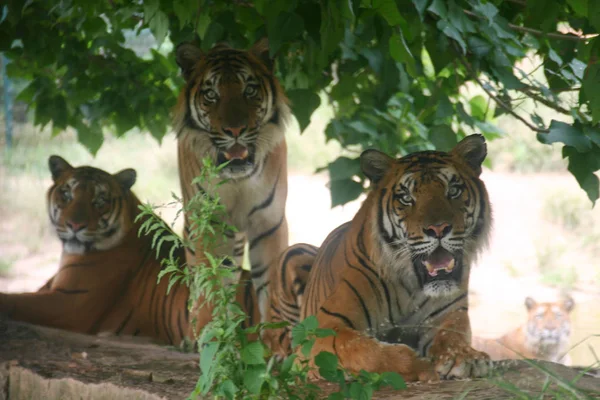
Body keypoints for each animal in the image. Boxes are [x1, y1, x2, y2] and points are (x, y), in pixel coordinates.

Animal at [172, 38, 292, 322]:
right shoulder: (209, 225)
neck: (238, 180)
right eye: (211, 94)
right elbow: (210, 284)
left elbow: (270, 285)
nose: (235, 130)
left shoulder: (269, 223)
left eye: (249, 90)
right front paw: (211, 330)